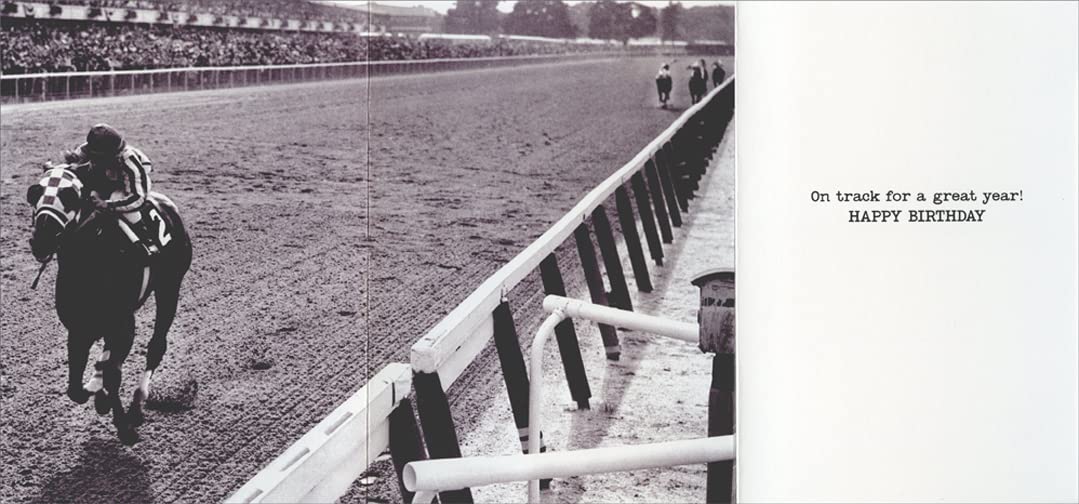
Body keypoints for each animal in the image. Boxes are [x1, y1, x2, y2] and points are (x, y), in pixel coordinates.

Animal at [26, 165, 192, 446]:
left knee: (156, 346)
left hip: (169, 287)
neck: (91, 260)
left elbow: (115, 374)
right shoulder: (79, 328)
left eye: (70, 194)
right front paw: (96, 390)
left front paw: (124, 426)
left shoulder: (123, 322)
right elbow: (75, 386)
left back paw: (137, 401)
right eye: (36, 192)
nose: (42, 238)